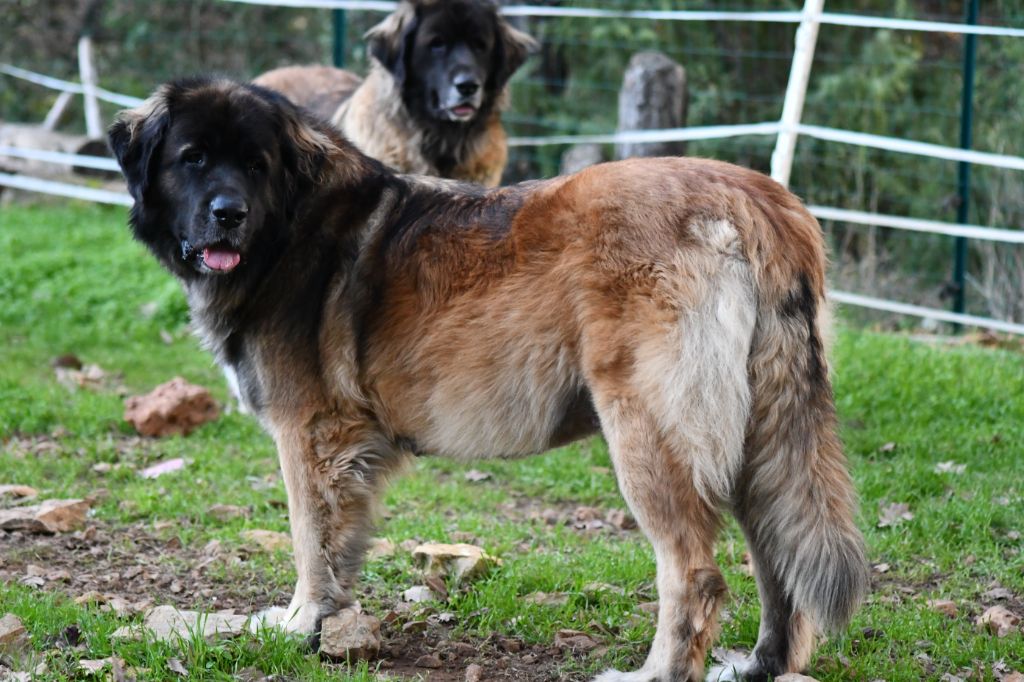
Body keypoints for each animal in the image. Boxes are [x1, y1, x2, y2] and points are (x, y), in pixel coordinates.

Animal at [110, 76, 864, 679]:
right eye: (193, 158)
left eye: (254, 163)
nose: (227, 214)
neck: (289, 222)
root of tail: (756, 199)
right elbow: (340, 546)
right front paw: (330, 624)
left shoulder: (310, 435)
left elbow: (309, 542)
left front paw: (301, 623)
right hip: (758, 435)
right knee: (778, 559)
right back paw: (763, 665)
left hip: (650, 433)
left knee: (697, 576)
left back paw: (654, 674)